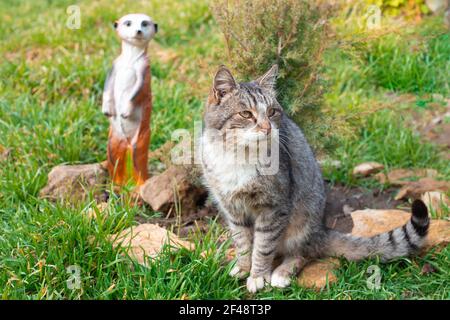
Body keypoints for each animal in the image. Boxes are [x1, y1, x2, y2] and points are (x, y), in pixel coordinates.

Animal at [200, 65, 428, 292]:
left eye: (272, 112)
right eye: (246, 114)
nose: (267, 128)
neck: (238, 156)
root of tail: (322, 229)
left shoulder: (274, 207)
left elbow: (263, 247)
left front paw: (258, 276)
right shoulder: (233, 209)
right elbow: (243, 242)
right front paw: (243, 267)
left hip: (302, 221)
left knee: (304, 252)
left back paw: (282, 272)